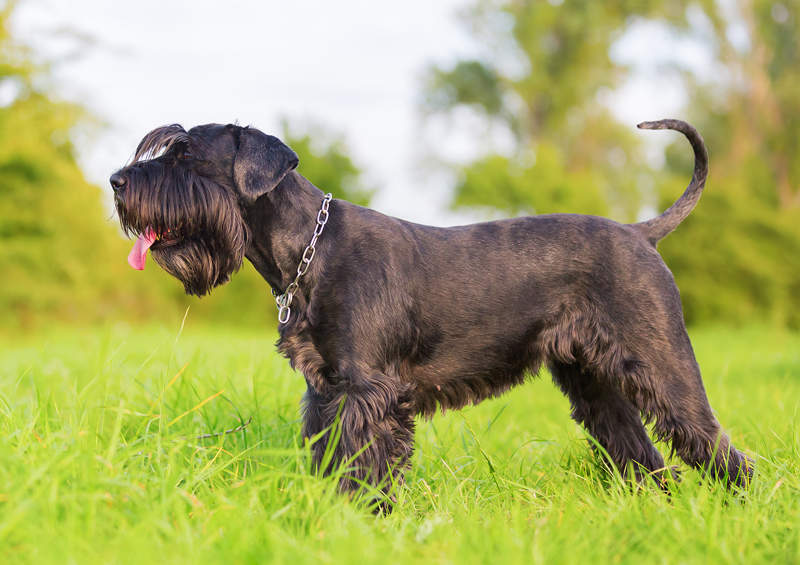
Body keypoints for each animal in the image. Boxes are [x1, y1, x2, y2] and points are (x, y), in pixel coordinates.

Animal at [111, 119, 752, 498]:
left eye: (186, 154)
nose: (117, 181)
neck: (308, 249)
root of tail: (641, 234)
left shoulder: (367, 391)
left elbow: (363, 463)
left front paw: (361, 517)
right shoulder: (325, 390)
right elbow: (328, 456)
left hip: (663, 365)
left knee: (712, 442)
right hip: (593, 382)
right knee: (640, 452)